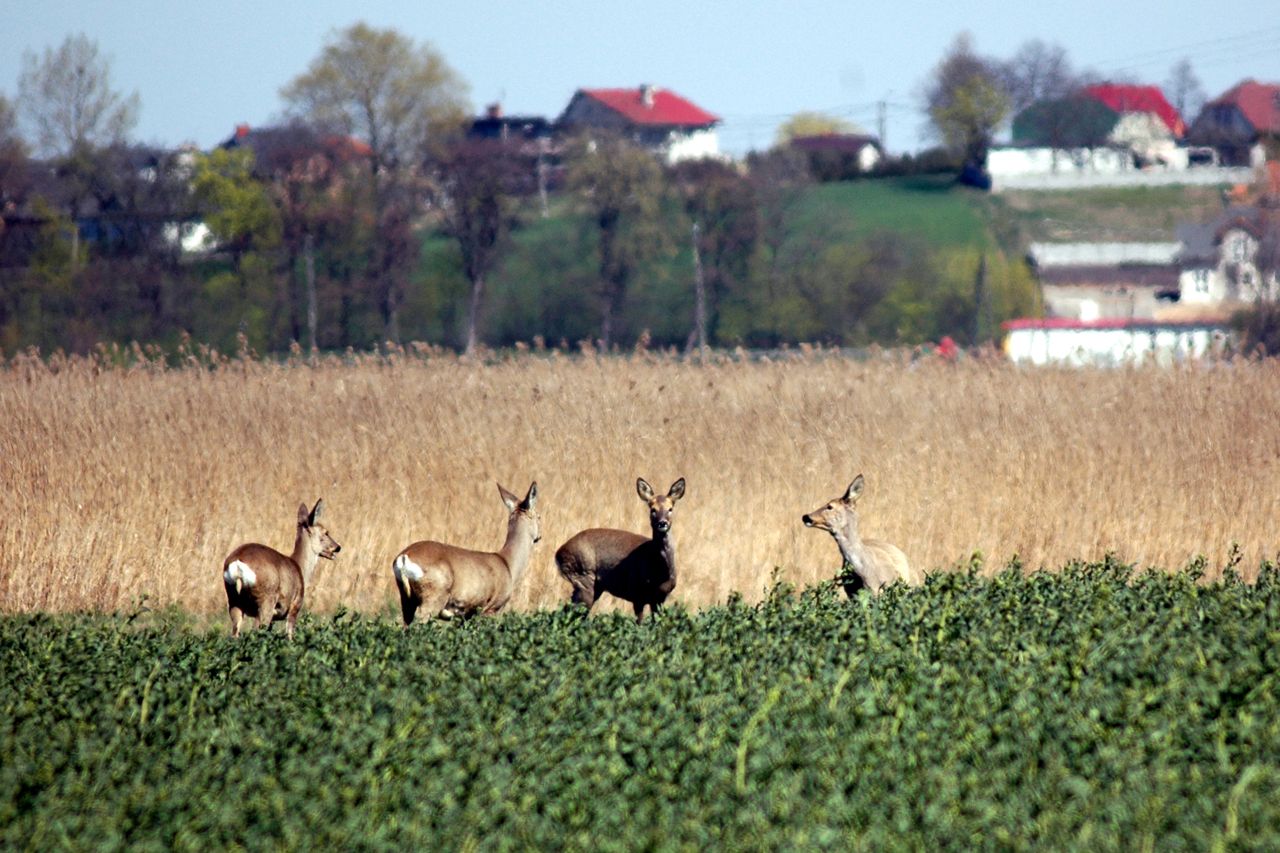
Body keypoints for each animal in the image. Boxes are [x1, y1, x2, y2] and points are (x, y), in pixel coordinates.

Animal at [222, 499, 340, 637]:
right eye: (326, 532)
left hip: (233, 599)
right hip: (266, 599)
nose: (337, 547)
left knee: (235, 633)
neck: (299, 567)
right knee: (255, 631)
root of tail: (237, 563)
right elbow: (289, 635)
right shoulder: (295, 606)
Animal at [389, 481, 540, 627]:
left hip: (406, 598)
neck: (508, 563)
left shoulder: (468, 614)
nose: (539, 537)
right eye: (539, 516)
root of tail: (404, 557)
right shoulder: (492, 608)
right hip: (433, 596)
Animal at [555, 473, 686, 622]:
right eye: (653, 510)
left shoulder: (660, 598)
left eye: (670, 509)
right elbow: (639, 623)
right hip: (583, 578)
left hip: (593, 586)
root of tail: (559, 552)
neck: (658, 573)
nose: (662, 523)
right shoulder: (637, 593)